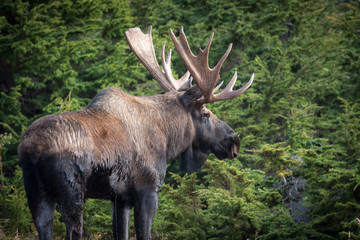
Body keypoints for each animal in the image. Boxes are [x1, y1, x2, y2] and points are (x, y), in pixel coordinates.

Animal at [16, 26, 253, 240]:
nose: (234, 141)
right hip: (71, 191)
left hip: (36, 193)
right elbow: (143, 234)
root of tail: (32, 149)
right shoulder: (147, 189)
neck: (168, 140)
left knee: (43, 226)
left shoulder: (120, 199)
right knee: (73, 230)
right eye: (205, 113)